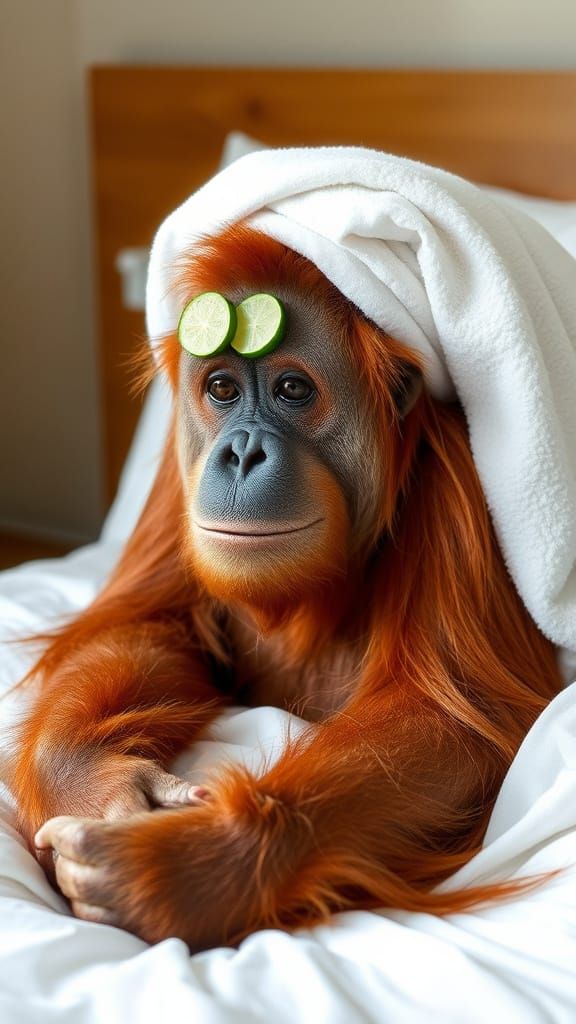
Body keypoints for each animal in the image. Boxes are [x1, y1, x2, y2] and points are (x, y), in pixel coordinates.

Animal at [11, 224, 562, 953]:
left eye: (294, 389)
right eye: (220, 387)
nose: (241, 451)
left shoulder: (460, 492)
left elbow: (455, 717)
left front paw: (186, 866)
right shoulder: (175, 479)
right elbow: (153, 625)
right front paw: (94, 784)